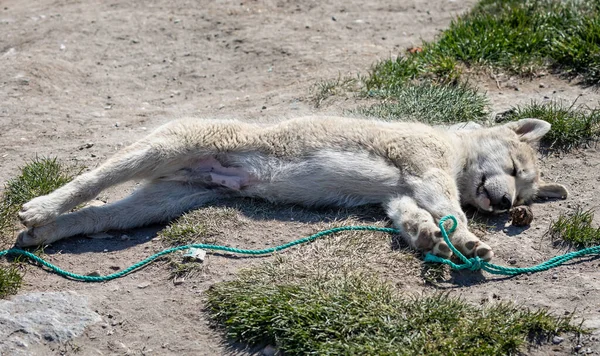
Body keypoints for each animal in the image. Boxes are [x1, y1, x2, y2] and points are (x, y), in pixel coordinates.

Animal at [15, 116, 568, 258]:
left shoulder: (400, 195)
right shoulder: (423, 164)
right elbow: (448, 205)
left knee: (103, 215)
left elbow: (414, 217)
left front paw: (433, 240)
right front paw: (469, 239)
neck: (454, 151)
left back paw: (40, 234)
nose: (504, 205)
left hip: (167, 199)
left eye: (522, 197)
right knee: (93, 179)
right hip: (173, 143)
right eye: (514, 168)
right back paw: (39, 207)